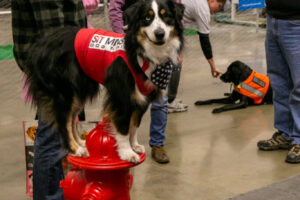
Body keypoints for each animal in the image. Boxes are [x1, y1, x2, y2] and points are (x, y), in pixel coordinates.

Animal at [25, 0, 185, 163]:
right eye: (147, 18)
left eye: (167, 16)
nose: (160, 34)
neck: (139, 53)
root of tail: (41, 45)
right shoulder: (122, 96)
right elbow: (124, 127)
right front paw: (127, 152)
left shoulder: (142, 97)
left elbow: (134, 124)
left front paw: (134, 145)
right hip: (63, 92)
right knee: (64, 123)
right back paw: (75, 149)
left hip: (78, 92)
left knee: (72, 118)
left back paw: (81, 142)